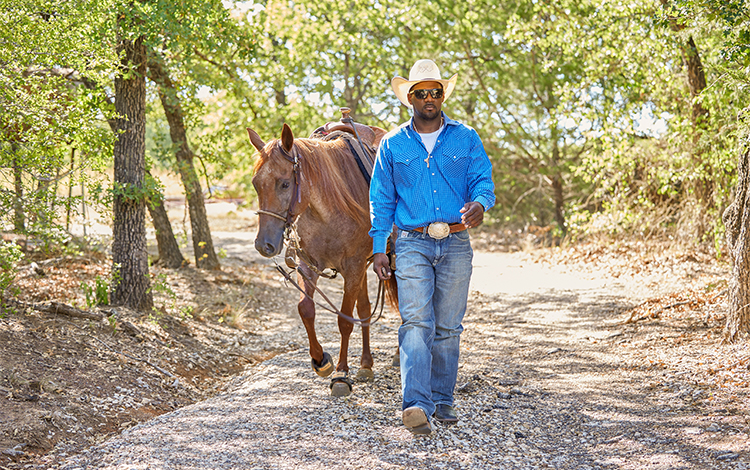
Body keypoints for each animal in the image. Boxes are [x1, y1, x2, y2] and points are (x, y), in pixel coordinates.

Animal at [248, 122, 400, 396]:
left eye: (284, 184)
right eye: (256, 184)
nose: (264, 245)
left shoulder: (353, 267)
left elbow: (344, 321)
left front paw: (341, 374)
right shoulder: (309, 266)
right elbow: (306, 309)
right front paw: (321, 361)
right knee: (364, 310)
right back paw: (366, 364)